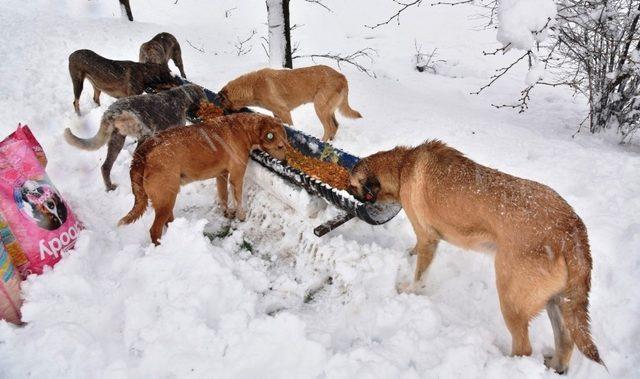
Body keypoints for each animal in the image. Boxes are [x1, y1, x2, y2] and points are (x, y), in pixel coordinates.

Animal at [119, 113, 288, 245]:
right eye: (280, 146)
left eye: (286, 144)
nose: (286, 162)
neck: (245, 128)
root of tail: (143, 152)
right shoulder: (236, 177)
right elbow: (238, 200)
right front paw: (240, 216)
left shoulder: (221, 175)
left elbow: (223, 197)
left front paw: (227, 214)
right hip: (166, 198)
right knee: (155, 230)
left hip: (168, 196)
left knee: (168, 220)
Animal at [219, 64, 360, 142]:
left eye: (222, 104)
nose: (222, 115)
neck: (252, 87)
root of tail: (342, 77)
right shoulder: (276, 113)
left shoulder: (284, 111)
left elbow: (289, 127)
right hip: (327, 109)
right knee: (335, 126)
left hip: (320, 108)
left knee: (329, 128)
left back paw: (323, 142)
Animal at [350, 141, 604, 376]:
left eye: (352, 185)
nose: (351, 194)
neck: (403, 165)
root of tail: (571, 230)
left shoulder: (428, 238)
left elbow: (420, 276)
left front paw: (410, 290)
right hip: (557, 302)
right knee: (566, 341)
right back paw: (554, 366)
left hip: (511, 300)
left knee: (524, 348)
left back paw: (505, 364)